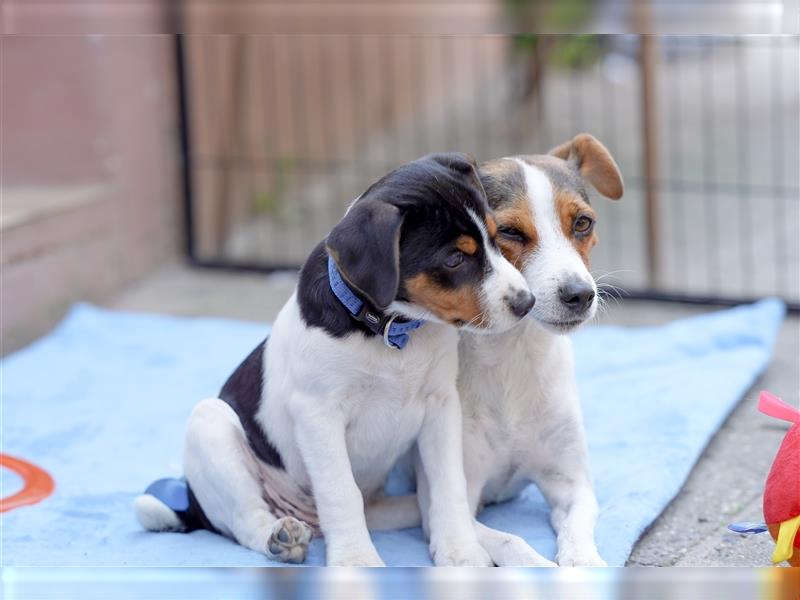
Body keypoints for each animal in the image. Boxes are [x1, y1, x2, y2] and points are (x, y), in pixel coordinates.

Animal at [134, 152, 536, 564]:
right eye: (455, 258)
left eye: (496, 237)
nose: (527, 303)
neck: (393, 332)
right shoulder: (319, 414)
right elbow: (342, 493)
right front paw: (356, 561)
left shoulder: (441, 406)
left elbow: (447, 484)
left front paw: (459, 549)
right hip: (211, 426)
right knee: (247, 521)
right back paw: (281, 538)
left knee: (404, 507)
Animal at [368, 135, 624, 568]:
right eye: (509, 232)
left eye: (582, 223)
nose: (580, 295)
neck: (512, 361)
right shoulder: (453, 506)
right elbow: (512, 543)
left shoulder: (572, 485)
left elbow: (577, 532)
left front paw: (584, 564)